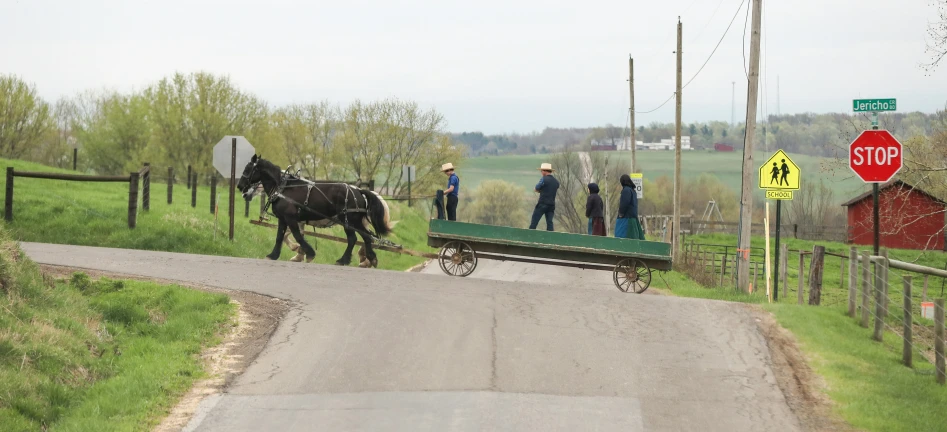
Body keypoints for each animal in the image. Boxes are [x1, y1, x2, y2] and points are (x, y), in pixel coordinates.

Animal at [241, 155, 396, 266]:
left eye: (248, 169)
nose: (240, 186)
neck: (283, 188)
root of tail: (358, 191)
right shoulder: (283, 219)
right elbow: (280, 237)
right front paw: (273, 255)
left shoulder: (291, 218)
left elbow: (297, 236)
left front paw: (308, 253)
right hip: (355, 221)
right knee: (366, 237)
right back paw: (370, 259)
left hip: (348, 220)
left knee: (354, 238)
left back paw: (344, 260)